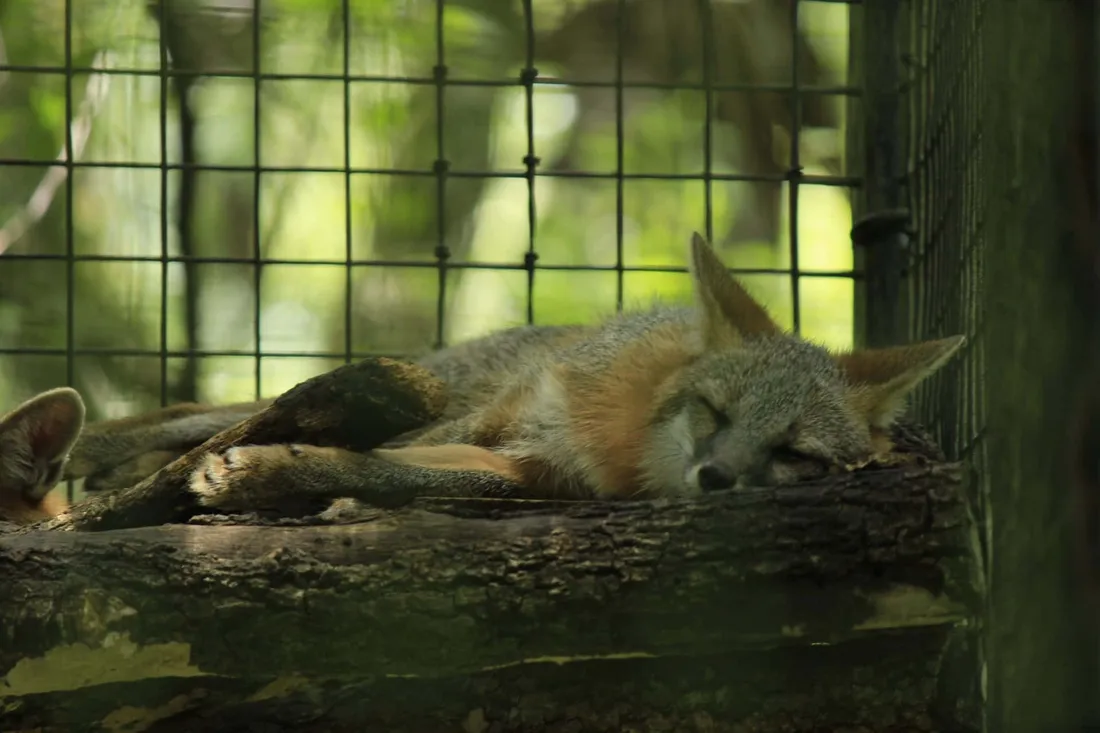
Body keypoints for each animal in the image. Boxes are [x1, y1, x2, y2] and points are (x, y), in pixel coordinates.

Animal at [0, 233, 964, 524]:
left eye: (796, 452)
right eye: (714, 409)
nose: (718, 477)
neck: (617, 444)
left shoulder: (532, 473)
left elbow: (402, 474)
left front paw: (287, 483)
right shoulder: (502, 420)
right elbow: (384, 450)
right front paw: (260, 477)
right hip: (436, 384)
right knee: (218, 415)